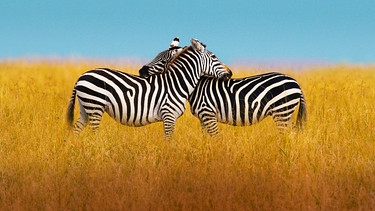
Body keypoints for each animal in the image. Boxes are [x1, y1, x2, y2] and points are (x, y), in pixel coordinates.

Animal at [67, 38, 232, 139]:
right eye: (215, 57)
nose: (230, 73)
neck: (178, 83)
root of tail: (81, 76)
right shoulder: (168, 115)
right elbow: (169, 140)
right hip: (95, 105)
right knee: (93, 133)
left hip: (86, 107)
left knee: (76, 130)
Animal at [140, 41, 306, 136]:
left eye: (162, 59)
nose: (141, 71)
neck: (197, 87)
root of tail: (296, 82)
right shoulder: (203, 118)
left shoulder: (208, 114)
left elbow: (215, 138)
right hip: (286, 113)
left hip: (282, 111)